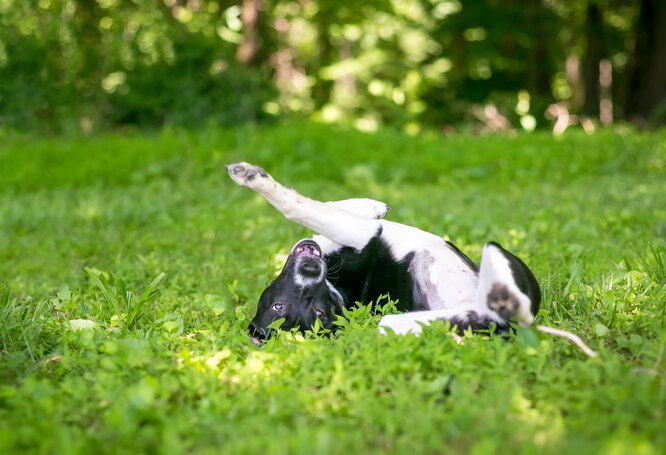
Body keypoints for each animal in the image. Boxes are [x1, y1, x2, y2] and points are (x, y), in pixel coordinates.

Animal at [226, 162, 536, 344]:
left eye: (319, 311)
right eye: (279, 307)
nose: (310, 270)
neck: (334, 288)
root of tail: (489, 319)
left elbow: (326, 208)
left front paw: (371, 205)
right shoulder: (361, 234)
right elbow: (301, 208)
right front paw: (254, 179)